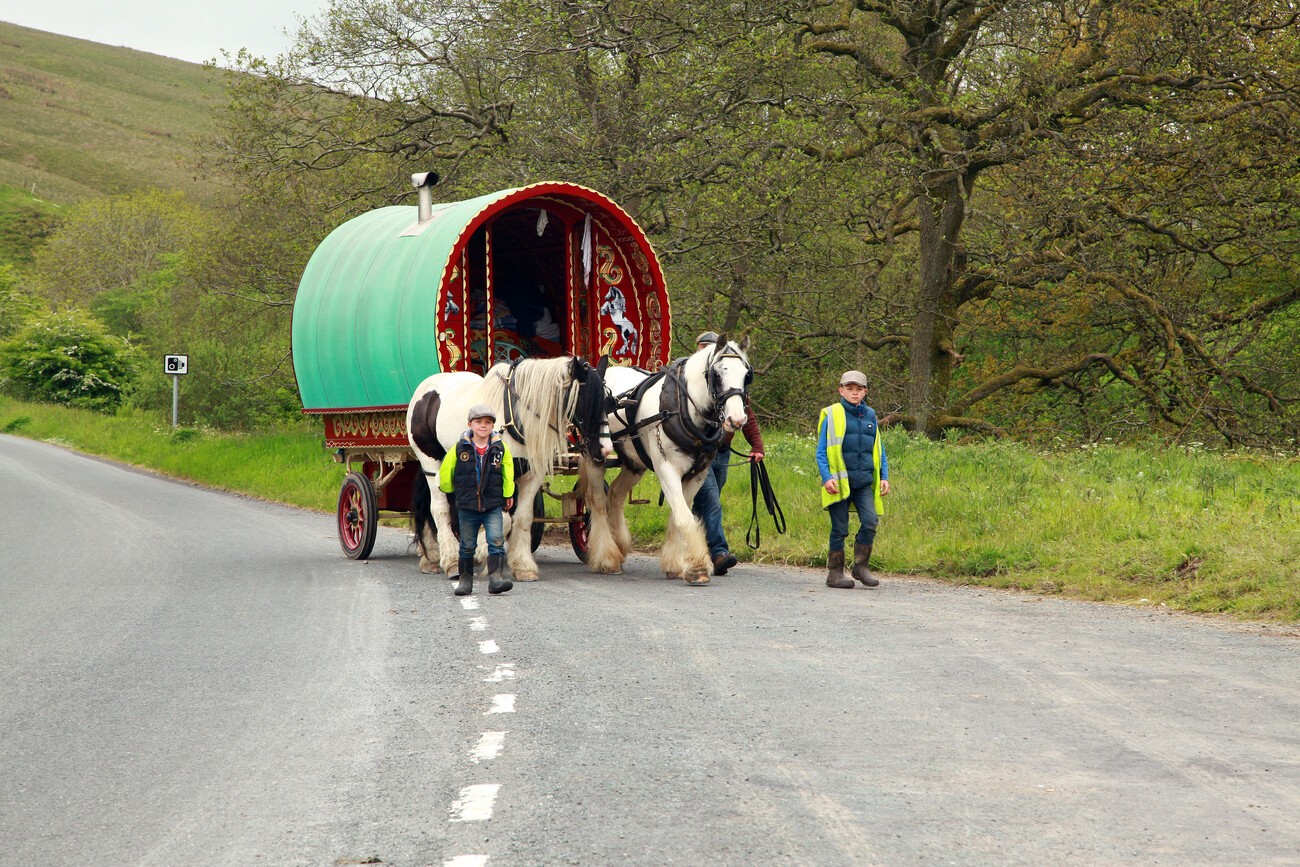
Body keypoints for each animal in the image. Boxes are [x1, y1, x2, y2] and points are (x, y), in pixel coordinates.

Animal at [405, 353, 608, 582]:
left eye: (609, 400)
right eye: (584, 400)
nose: (604, 449)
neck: (517, 418)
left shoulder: (531, 475)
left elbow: (522, 517)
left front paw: (522, 565)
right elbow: (502, 518)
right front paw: (484, 551)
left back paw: (436, 557)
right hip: (431, 464)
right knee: (440, 509)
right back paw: (450, 561)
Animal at [579, 335, 754, 587]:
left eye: (746, 375)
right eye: (717, 374)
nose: (737, 419)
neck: (683, 408)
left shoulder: (697, 475)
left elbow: (679, 515)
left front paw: (676, 564)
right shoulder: (667, 470)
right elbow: (684, 517)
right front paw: (697, 568)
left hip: (634, 462)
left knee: (616, 494)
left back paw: (620, 545)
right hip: (596, 453)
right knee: (598, 501)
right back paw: (607, 558)